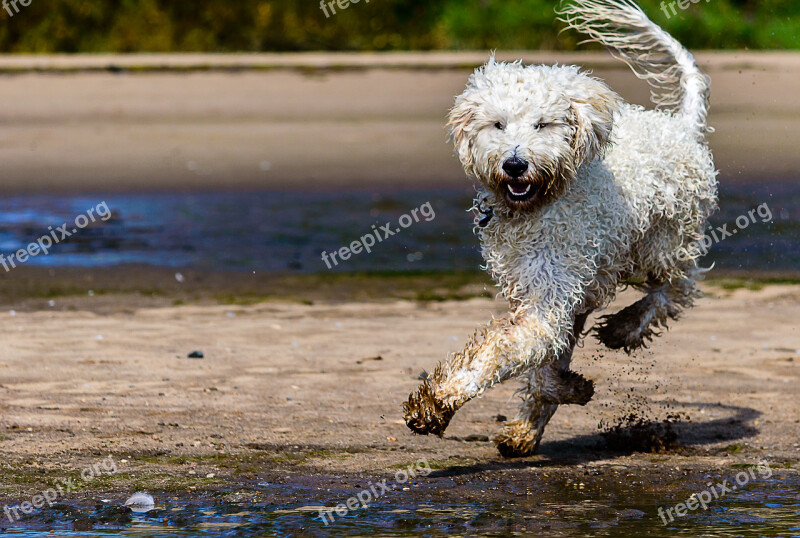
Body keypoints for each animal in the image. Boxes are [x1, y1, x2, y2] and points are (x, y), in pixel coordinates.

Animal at [406, 0, 720, 454]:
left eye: (542, 124)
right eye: (498, 124)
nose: (514, 164)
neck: (541, 203)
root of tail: (680, 128)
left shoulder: (550, 298)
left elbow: (502, 351)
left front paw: (439, 401)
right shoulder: (548, 294)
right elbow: (544, 364)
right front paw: (554, 401)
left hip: (661, 245)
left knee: (678, 289)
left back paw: (627, 326)